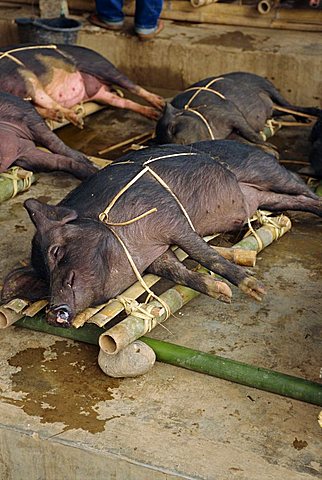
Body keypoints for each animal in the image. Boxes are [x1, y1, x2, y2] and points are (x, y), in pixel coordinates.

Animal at [0, 43, 165, 125]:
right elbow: (38, 109)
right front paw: (59, 117)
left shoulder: (26, 78)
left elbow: (45, 100)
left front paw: (76, 121)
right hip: (101, 94)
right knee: (121, 101)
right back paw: (155, 114)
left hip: (102, 66)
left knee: (134, 87)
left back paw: (161, 104)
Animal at [1, 141, 320, 324]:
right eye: (43, 279)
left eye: (55, 251)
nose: (52, 313)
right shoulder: (155, 257)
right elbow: (180, 273)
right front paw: (222, 293)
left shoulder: (170, 218)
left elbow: (203, 253)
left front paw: (256, 291)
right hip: (266, 197)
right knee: (297, 201)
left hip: (267, 170)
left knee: (301, 187)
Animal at [155, 71, 318, 144]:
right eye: (161, 142)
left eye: (172, 128)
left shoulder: (229, 113)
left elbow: (249, 132)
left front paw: (264, 143)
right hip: (271, 107)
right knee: (278, 110)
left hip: (269, 87)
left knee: (289, 105)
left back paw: (311, 115)